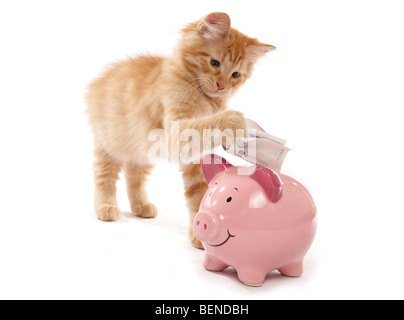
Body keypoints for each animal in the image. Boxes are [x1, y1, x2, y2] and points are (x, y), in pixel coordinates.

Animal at [87, 11, 276, 248]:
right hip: (109, 144)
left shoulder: (195, 156)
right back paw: (106, 206)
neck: (206, 100)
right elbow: (206, 125)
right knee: (105, 176)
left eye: (236, 75)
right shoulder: (174, 132)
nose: (222, 86)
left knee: (134, 175)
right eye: (214, 63)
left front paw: (201, 233)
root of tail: (99, 81)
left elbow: (200, 192)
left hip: (142, 150)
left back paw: (141, 205)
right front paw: (234, 121)